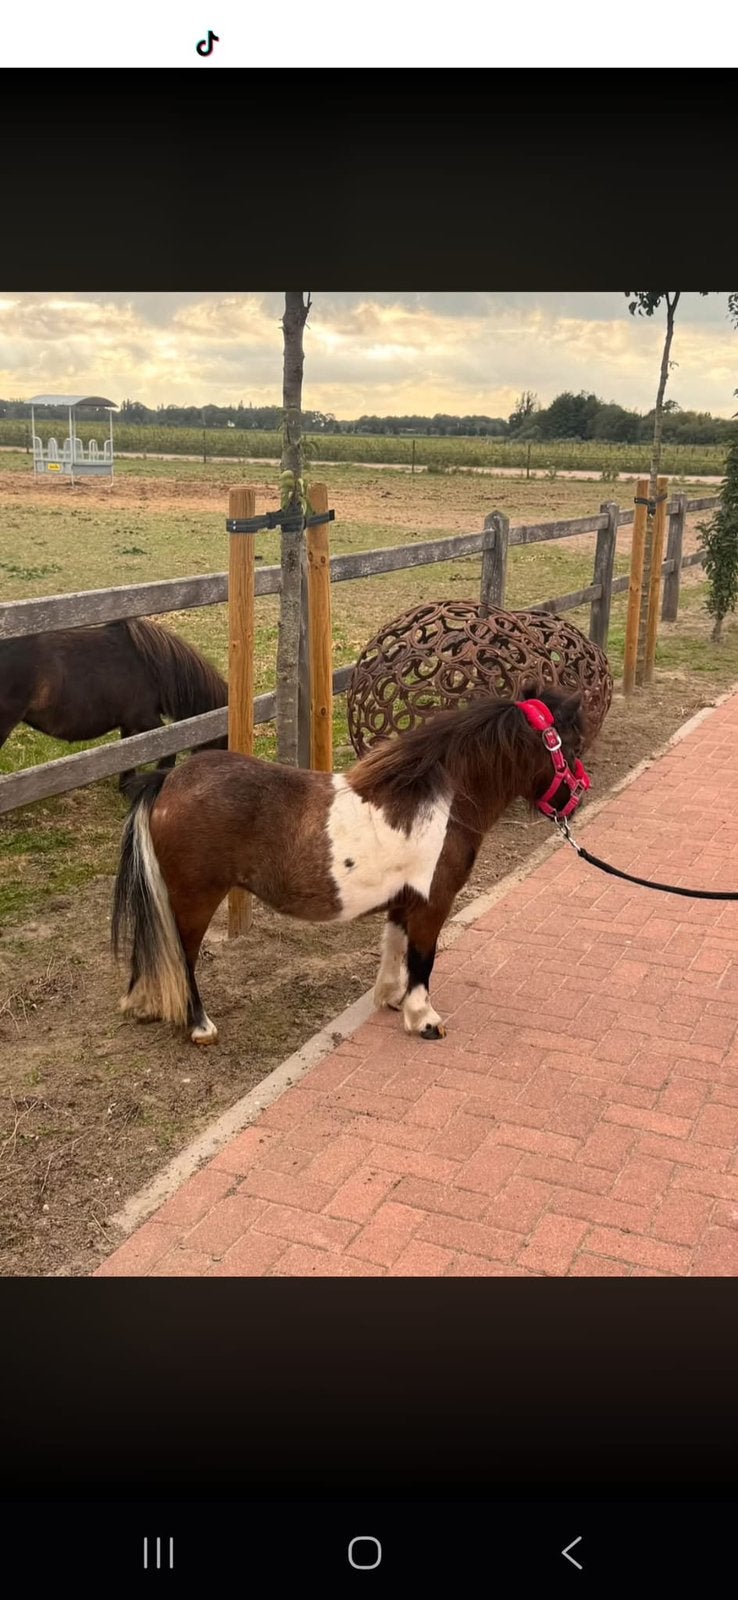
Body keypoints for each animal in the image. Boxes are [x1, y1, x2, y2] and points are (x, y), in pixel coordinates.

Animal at [0, 618, 228, 792]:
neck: (154, 669)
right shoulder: (146, 720)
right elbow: (167, 750)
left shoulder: (129, 723)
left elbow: (128, 753)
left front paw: (127, 786)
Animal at [111, 686, 588, 1047]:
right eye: (569, 745)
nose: (576, 796)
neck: (438, 801)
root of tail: (168, 780)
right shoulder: (433, 904)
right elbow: (423, 959)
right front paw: (423, 1018)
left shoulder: (403, 902)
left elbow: (395, 946)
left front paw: (392, 999)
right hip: (195, 898)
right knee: (183, 956)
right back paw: (200, 1026)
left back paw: (144, 1004)